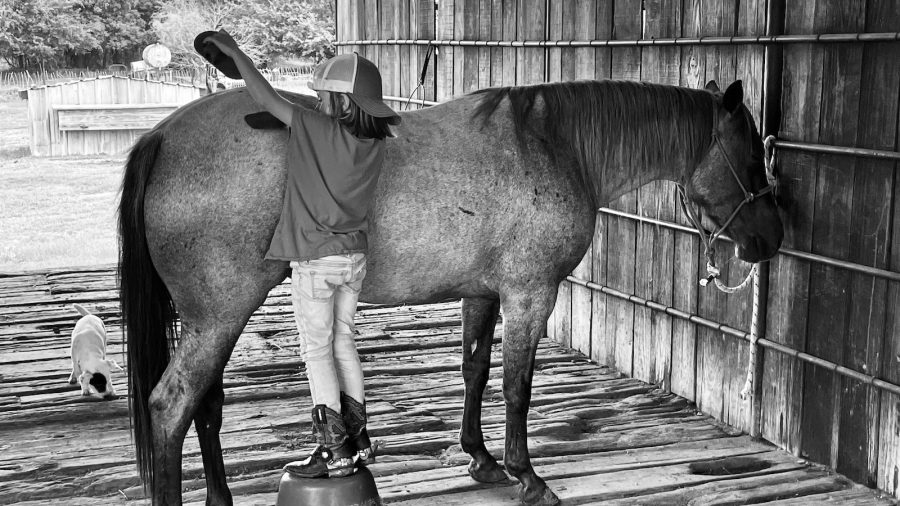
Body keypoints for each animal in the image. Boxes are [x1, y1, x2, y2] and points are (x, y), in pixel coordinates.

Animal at [118, 78, 783, 505]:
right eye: (753, 160)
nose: (772, 237)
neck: (553, 145)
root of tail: (164, 135)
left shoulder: (482, 294)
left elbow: (475, 371)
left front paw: (481, 460)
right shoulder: (530, 294)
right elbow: (517, 387)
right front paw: (527, 476)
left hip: (213, 319)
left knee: (205, 406)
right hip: (220, 315)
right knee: (172, 406)